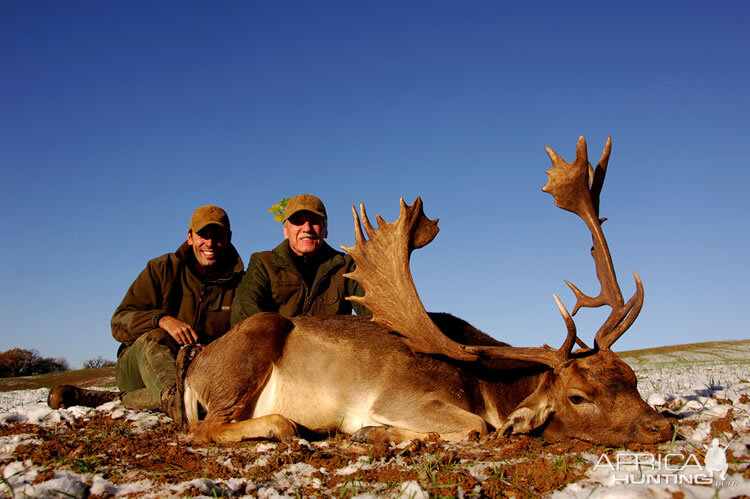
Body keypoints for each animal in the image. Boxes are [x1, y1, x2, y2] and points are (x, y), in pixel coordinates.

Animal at [182, 136, 676, 446]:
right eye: (578, 397)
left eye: (632, 379)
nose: (661, 427)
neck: (490, 387)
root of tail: (192, 374)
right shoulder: (399, 397)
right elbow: (477, 427)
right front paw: (371, 433)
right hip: (255, 342)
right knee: (205, 429)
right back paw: (286, 426)